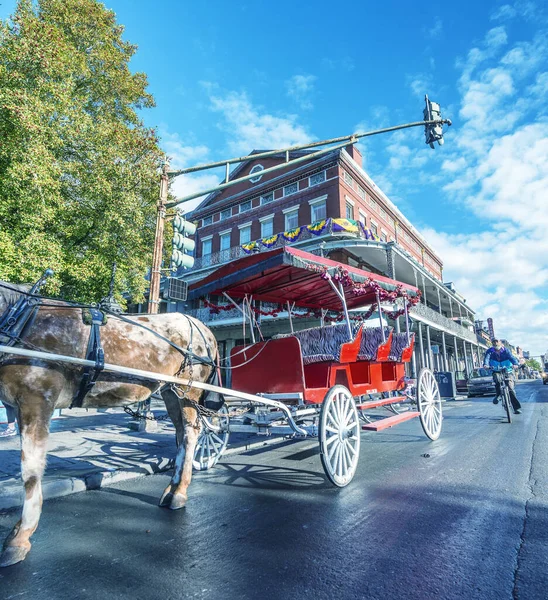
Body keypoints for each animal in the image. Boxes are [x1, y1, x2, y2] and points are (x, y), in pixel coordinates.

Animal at [1, 278, 220, 564]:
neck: (18, 317)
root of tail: (202, 328)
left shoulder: (36, 401)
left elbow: (30, 471)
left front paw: (20, 536)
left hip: (188, 390)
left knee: (191, 433)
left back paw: (179, 492)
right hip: (172, 391)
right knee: (183, 434)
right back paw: (173, 490)